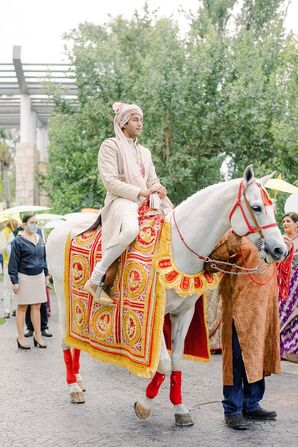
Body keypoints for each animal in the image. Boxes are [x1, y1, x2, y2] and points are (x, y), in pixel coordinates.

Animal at [46, 165, 286, 428]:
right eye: (257, 207)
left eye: (272, 206)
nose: (280, 250)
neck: (177, 249)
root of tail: (58, 228)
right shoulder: (155, 316)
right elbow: (164, 362)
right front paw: (145, 404)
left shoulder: (184, 313)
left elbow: (177, 361)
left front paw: (180, 409)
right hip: (63, 295)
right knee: (64, 337)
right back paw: (73, 387)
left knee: (74, 337)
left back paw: (79, 381)